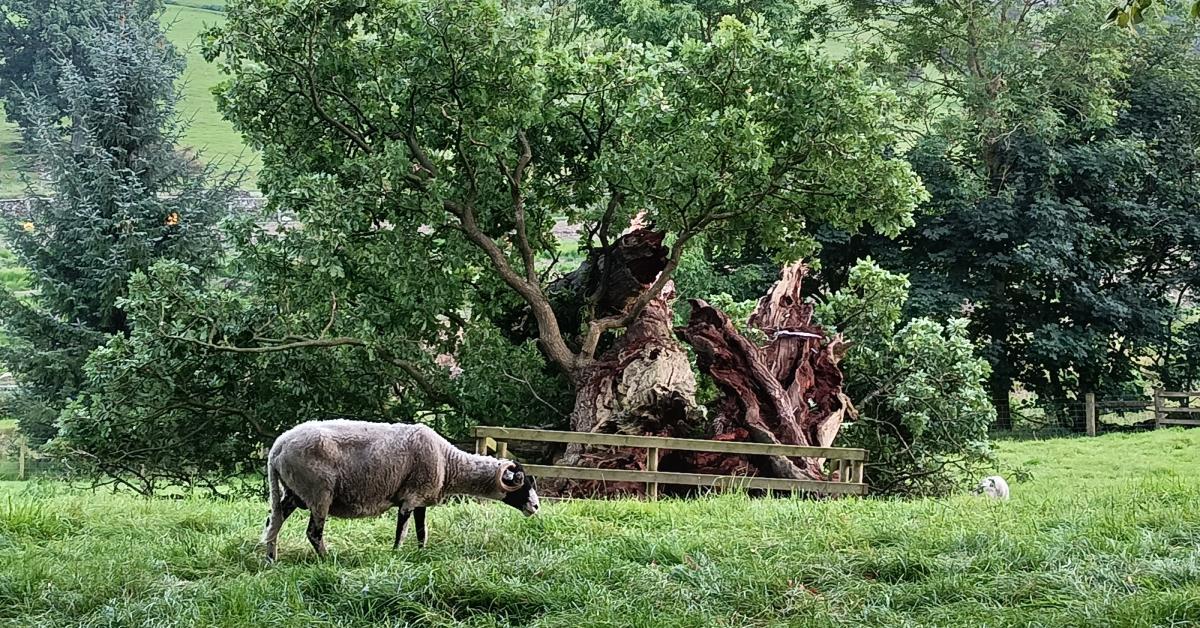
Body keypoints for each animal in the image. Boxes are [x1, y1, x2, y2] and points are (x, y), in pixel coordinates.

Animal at [260, 419, 539, 562]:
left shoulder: (422, 501)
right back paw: (328, 559)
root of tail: (277, 447)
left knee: (273, 521)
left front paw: (421, 554)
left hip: (294, 492)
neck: (448, 462)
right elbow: (401, 531)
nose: (536, 507)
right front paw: (396, 555)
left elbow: (421, 532)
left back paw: (271, 559)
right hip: (319, 492)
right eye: (522, 482)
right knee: (313, 532)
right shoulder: (410, 497)